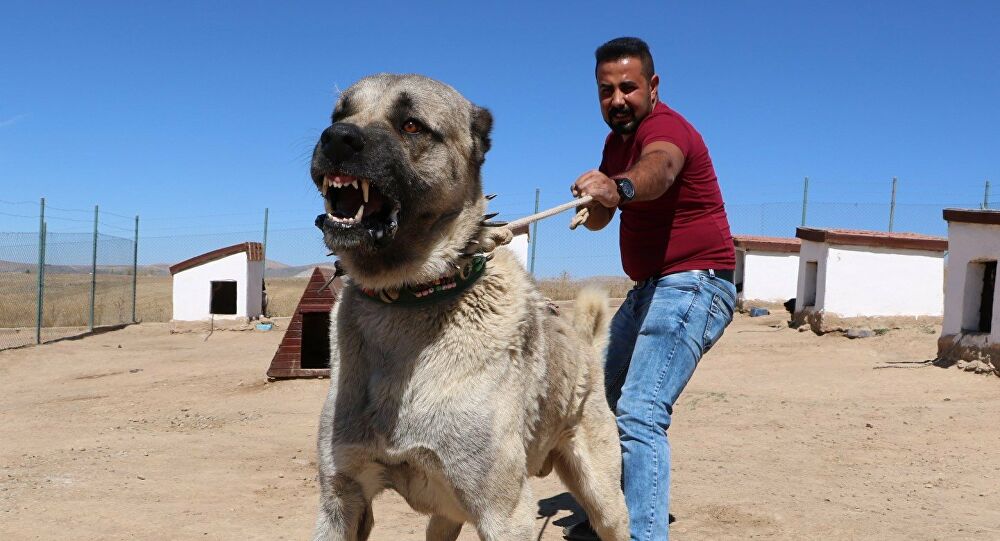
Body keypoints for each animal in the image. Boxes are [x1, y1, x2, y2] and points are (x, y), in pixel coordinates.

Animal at [310, 73, 624, 540]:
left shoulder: (504, 513)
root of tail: (585, 349)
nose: (336, 139)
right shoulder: (341, 499)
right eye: (339, 115)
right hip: (444, 517)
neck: (410, 297)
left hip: (605, 502)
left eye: (412, 125)